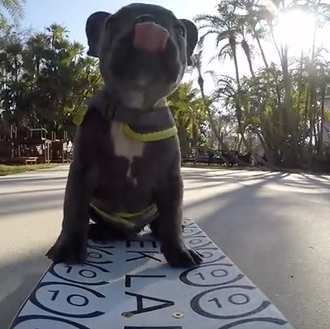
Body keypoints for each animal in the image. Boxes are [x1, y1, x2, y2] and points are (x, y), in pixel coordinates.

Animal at [45, 2, 202, 268]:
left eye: (181, 31)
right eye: (111, 23)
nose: (150, 22)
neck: (133, 111)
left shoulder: (171, 179)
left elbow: (173, 214)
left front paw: (179, 250)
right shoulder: (81, 172)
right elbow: (73, 210)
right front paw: (68, 248)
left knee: (162, 221)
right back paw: (99, 232)